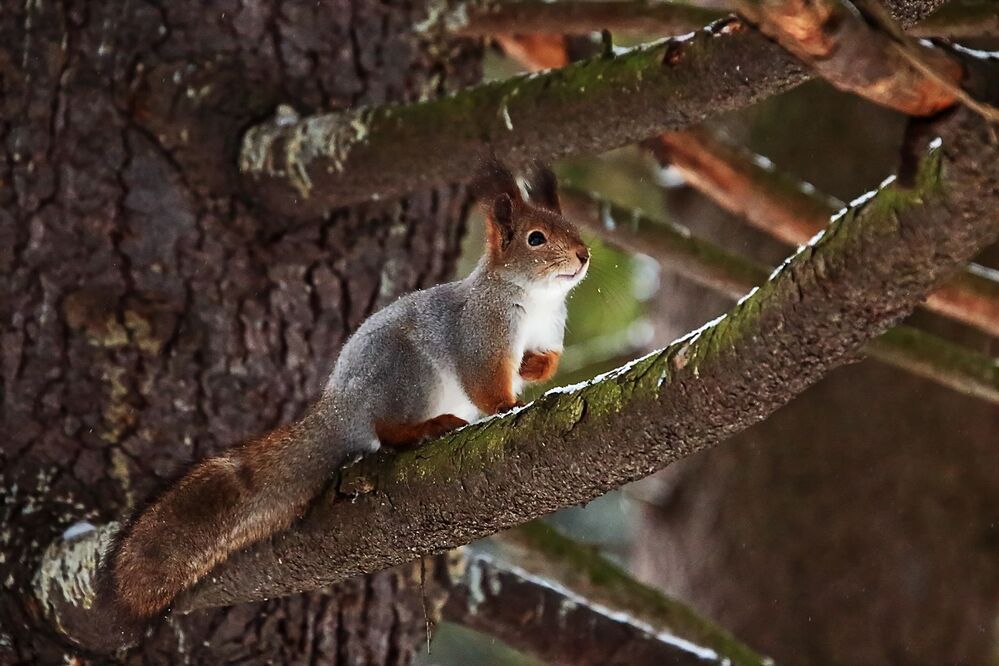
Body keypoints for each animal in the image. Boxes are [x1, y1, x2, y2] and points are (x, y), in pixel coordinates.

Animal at [102, 159, 590, 629]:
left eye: (572, 227)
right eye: (536, 238)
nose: (584, 255)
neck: (537, 298)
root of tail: (340, 411)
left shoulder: (549, 330)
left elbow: (544, 360)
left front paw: (532, 369)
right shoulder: (482, 331)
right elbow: (484, 380)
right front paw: (508, 405)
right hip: (410, 377)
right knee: (388, 431)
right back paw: (427, 428)